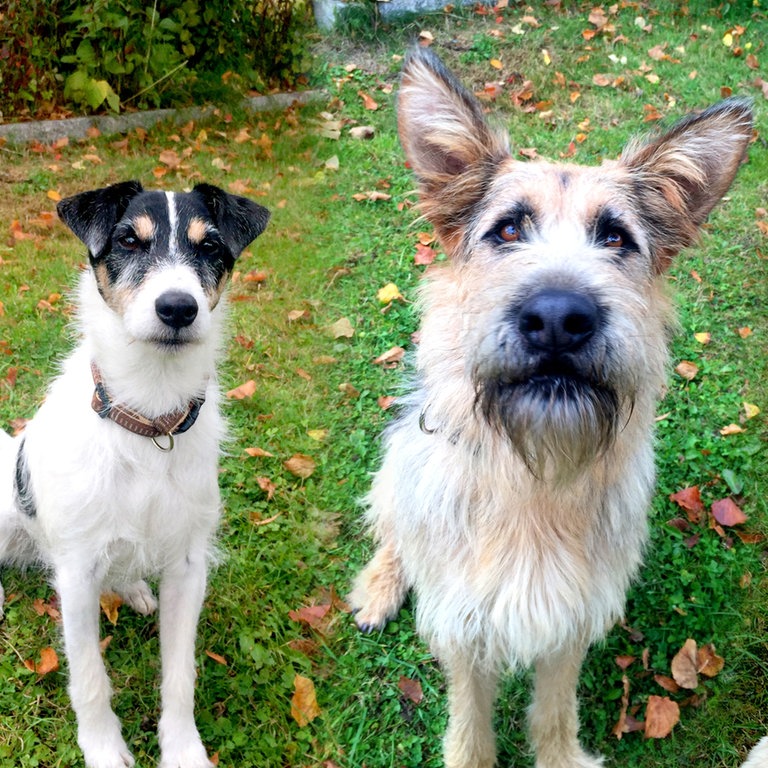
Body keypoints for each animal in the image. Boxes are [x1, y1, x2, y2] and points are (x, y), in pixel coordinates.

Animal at [0, 182, 270, 768]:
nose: (178, 307)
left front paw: (183, 748)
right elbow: (89, 680)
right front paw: (104, 749)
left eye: (210, 246)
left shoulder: (188, 567)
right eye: (128, 240)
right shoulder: (76, 576)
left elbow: (180, 675)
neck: (148, 418)